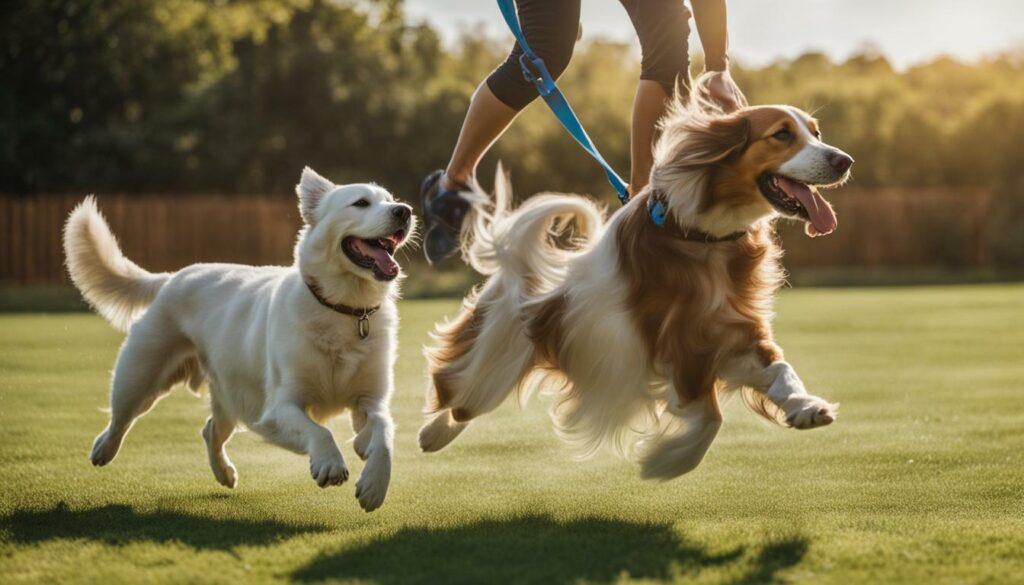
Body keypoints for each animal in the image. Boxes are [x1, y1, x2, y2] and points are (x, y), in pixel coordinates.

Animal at [62, 168, 411, 512]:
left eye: (390, 199)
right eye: (361, 202)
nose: (404, 211)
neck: (347, 310)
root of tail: (173, 277)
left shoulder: (370, 400)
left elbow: (385, 432)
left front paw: (374, 483)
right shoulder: (280, 407)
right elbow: (320, 430)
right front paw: (330, 463)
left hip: (231, 395)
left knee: (210, 430)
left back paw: (224, 473)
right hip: (140, 378)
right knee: (120, 420)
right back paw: (102, 451)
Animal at [419, 78, 851, 481]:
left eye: (815, 133)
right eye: (782, 134)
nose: (844, 160)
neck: (703, 237)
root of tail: (517, 270)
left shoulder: (732, 331)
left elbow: (780, 370)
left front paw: (807, 408)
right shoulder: (681, 347)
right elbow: (709, 416)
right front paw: (666, 462)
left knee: (461, 406)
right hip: (492, 362)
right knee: (455, 393)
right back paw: (429, 434)